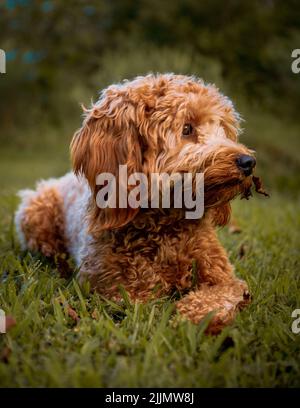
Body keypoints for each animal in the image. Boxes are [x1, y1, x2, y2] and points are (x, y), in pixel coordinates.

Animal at [14, 75, 262, 334]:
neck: (166, 227)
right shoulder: (116, 288)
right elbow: (143, 303)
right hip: (35, 214)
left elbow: (224, 293)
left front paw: (194, 316)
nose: (248, 162)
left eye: (223, 129)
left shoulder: (223, 277)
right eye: (187, 129)